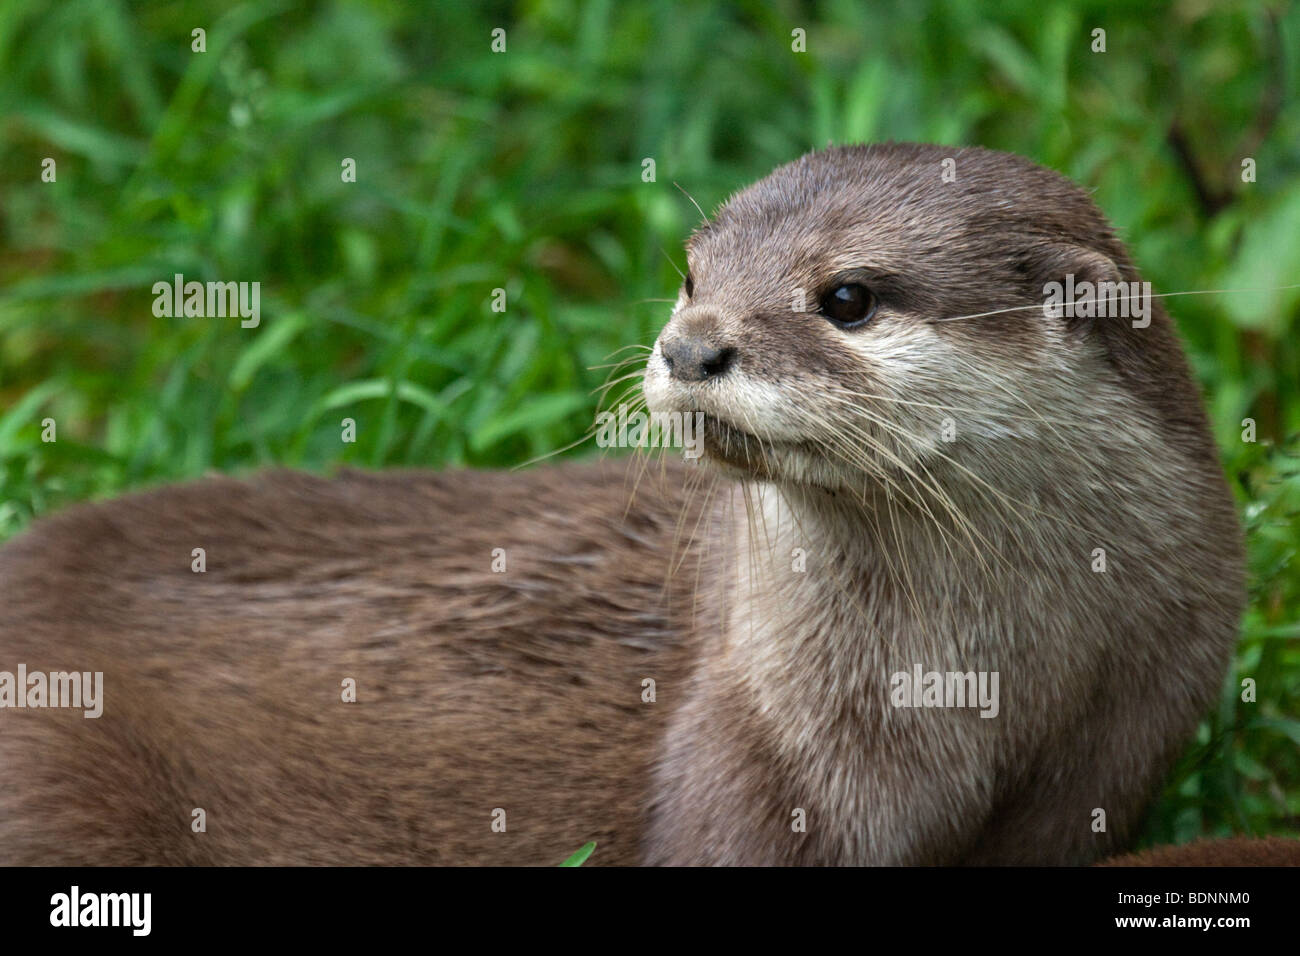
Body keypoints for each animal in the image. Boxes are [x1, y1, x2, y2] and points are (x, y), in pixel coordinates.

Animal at [0, 143, 1244, 865]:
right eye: (692, 273)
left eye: (846, 296)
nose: (690, 345)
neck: (982, 687)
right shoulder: (757, 752)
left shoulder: (1118, 734)